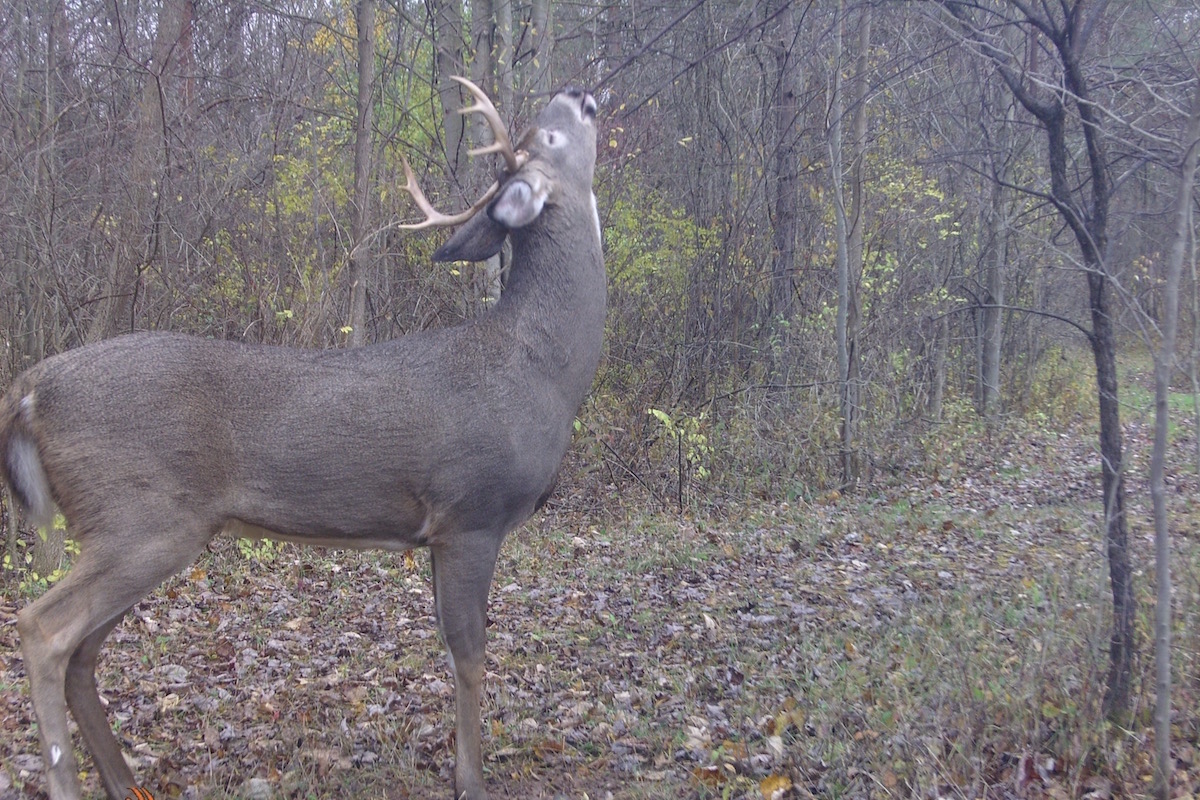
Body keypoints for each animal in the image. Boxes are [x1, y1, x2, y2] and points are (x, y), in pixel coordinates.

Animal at [0, 79, 604, 800]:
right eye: (550, 134)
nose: (579, 90)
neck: (541, 369)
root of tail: (30, 389)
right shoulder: (472, 514)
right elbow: (470, 655)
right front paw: (471, 781)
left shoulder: (439, 533)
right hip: (139, 516)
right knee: (42, 628)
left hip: (137, 529)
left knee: (83, 651)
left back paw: (124, 782)